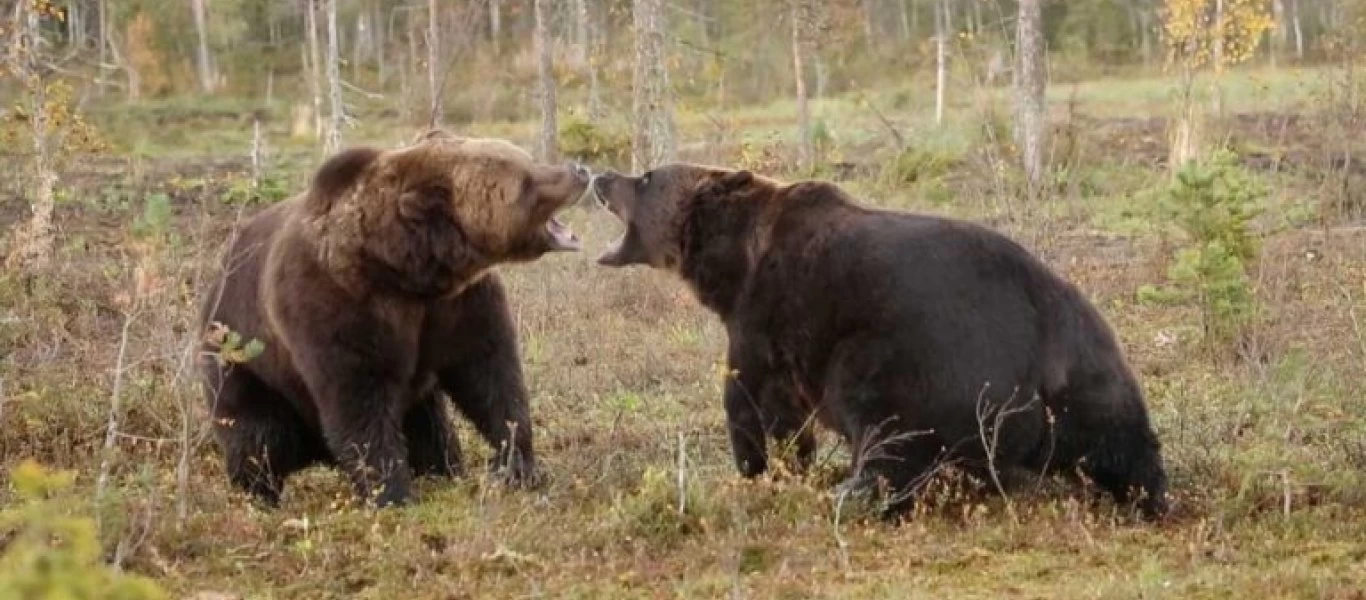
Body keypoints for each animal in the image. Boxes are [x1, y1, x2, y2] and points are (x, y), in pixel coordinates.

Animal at [199, 130, 590, 508]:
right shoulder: (337, 305)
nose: (580, 170)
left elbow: (490, 373)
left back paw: (442, 470)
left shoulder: (457, 305)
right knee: (261, 436)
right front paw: (392, 494)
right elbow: (359, 402)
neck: (406, 270)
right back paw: (259, 494)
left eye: (526, 158)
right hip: (241, 360)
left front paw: (519, 467)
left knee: (430, 428)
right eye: (525, 179)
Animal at [592, 164, 1169, 522]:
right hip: (1090, 363)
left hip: (909, 358)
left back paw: (851, 491)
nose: (600, 176)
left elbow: (756, 403)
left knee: (889, 435)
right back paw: (1149, 497)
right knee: (1123, 441)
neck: (731, 265)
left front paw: (762, 469)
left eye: (646, 176)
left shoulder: (765, 318)